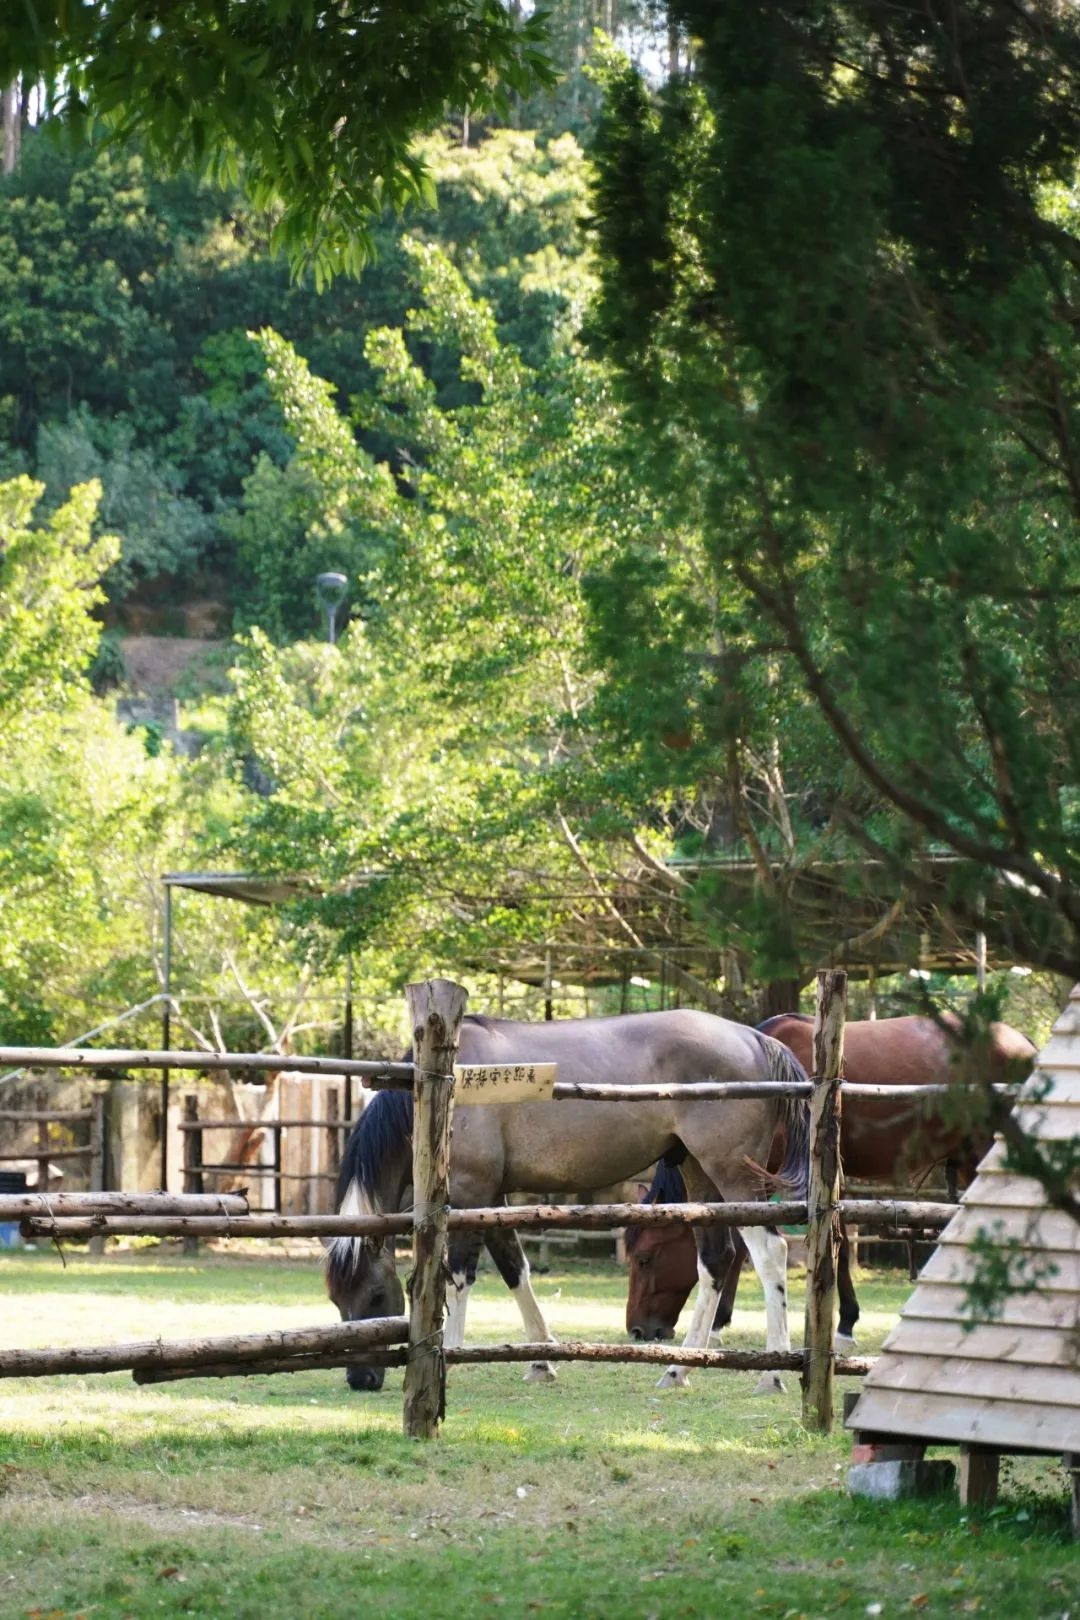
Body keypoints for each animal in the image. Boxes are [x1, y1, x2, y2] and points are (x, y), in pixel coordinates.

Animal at [325, 1004, 806, 1386]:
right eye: (335, 1299)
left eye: (375, 1295)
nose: (360, 1379)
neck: (438, 1093)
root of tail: (754, 1038)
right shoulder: (491, 1199)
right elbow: (516, 1270)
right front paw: (541, 1361)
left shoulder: (467, 1193)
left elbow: (459, 1276)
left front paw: (453, 1355)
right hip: (699, 1177)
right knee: (715, 1261)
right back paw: (678, 1369)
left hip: (733, 1177)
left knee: (771, 1254)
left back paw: (772, 1372)